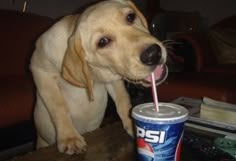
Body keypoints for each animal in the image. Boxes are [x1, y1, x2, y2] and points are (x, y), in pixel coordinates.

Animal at [30, 0, 166, 155]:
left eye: (131, 17)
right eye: (103, 42)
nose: (153, 54)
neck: (93, 72)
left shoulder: (113, 78)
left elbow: (123, 100)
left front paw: (132, 124)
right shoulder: (40, 71)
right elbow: (58, 105)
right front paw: (69, 137)